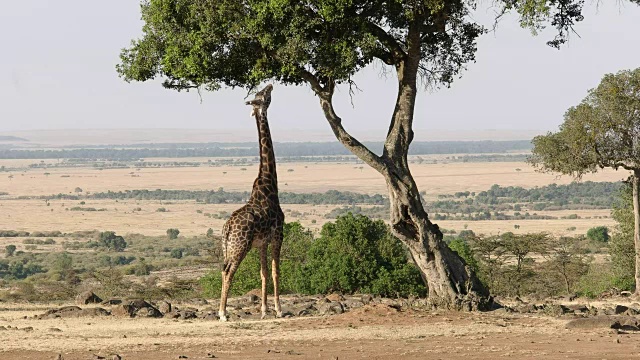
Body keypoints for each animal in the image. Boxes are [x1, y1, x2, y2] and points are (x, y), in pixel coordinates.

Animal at [218, 83, 282, 320]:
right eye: (263, 95)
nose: (270, 84)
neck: (270, 186)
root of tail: (228, 228)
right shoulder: (279, 234)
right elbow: (275, 271)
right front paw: (279, 310)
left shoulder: (262, 241)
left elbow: (263, 272)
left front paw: (264, 310)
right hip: (241, 246)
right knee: (228, 270)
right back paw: (223, 313)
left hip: (227, 246)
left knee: (223, 268)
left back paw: (223, 310)